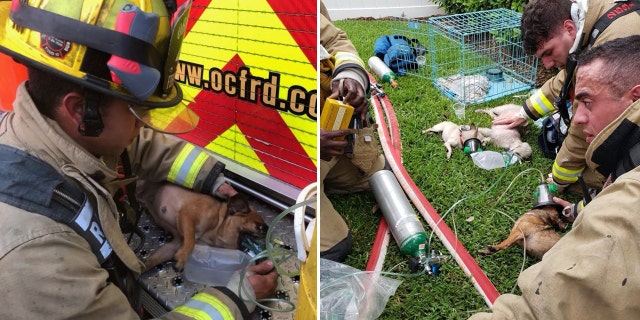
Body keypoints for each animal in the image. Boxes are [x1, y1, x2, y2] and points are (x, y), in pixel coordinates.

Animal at [136, 181, 268, 272]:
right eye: (259, 226)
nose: (267, 230)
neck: (217, 226)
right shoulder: (188, 215)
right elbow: (191, 241)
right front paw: (183, 258)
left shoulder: (175, 245)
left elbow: (151, 260)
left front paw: (139, 268)